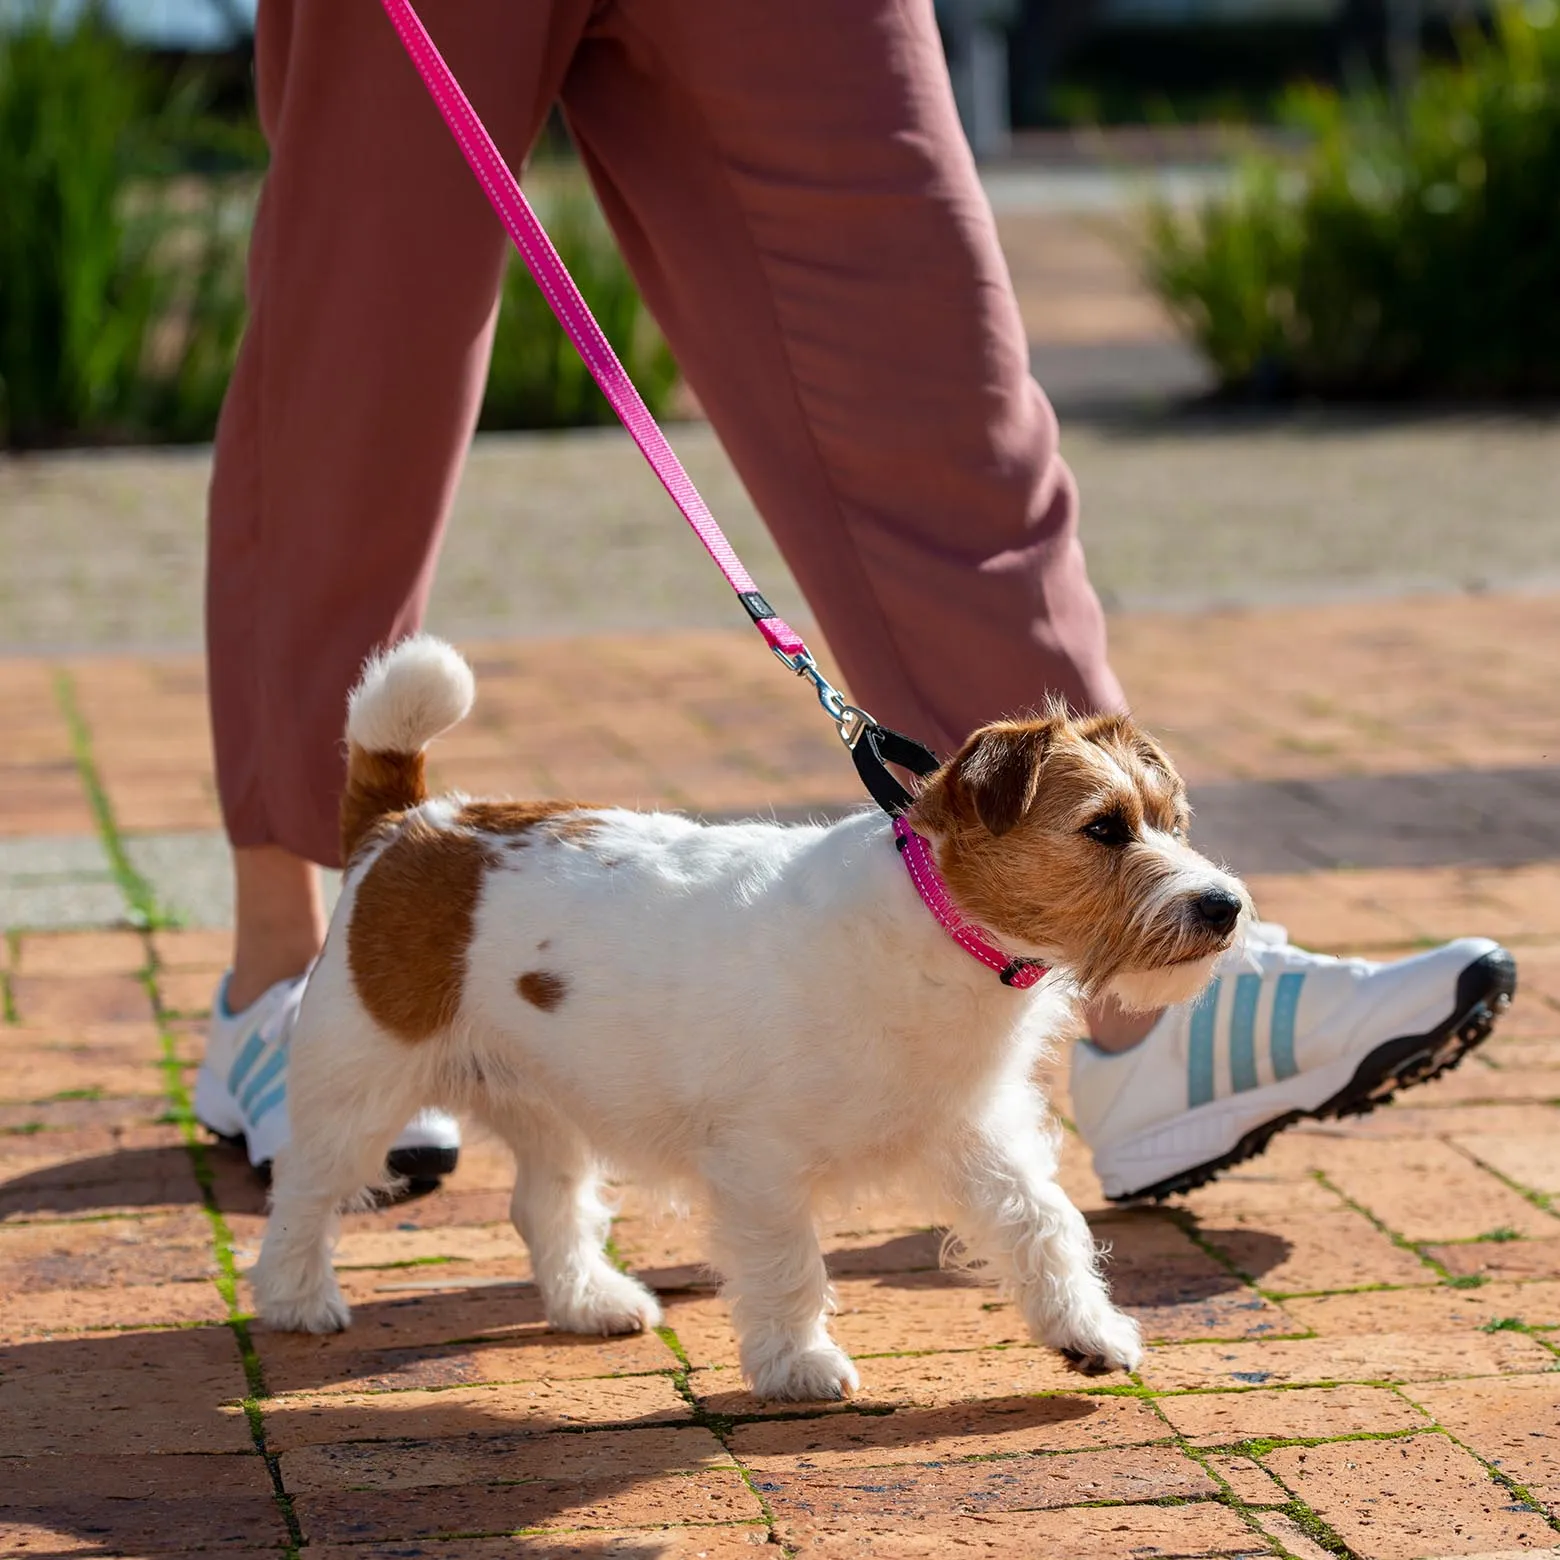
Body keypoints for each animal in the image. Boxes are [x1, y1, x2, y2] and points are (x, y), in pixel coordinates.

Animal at [258, 633, 1254, 1404]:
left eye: (1171, 820)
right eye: (1104, 828)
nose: (1226, 906)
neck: (930, 924)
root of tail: (410, 822)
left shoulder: (972, 1133)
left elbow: (1044, 1225)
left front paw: (1087, 1333)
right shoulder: (760, 1163)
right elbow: (787, 1265)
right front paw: (797, 1365)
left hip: (548, 1104)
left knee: (547, 1205)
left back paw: (590, 1304)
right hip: (358, 1085)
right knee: (304, 1191)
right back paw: (296, 1301)